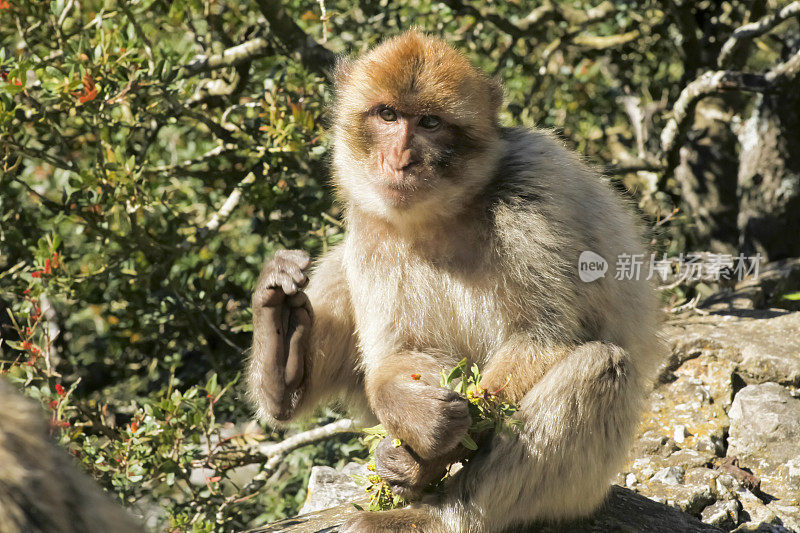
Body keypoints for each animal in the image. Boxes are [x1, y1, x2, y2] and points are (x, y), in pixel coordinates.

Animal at [250, 30, 664, 532]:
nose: (400, 159)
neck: (445, 214)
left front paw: (417, 464)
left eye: (430, 123)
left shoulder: (535, 194)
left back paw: (438, 514)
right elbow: (405, 351)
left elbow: (544, 336)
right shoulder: (370, 224)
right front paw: (414, 421)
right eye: (387, 115)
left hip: (582, 492)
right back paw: (282, 351)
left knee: (601, 368)